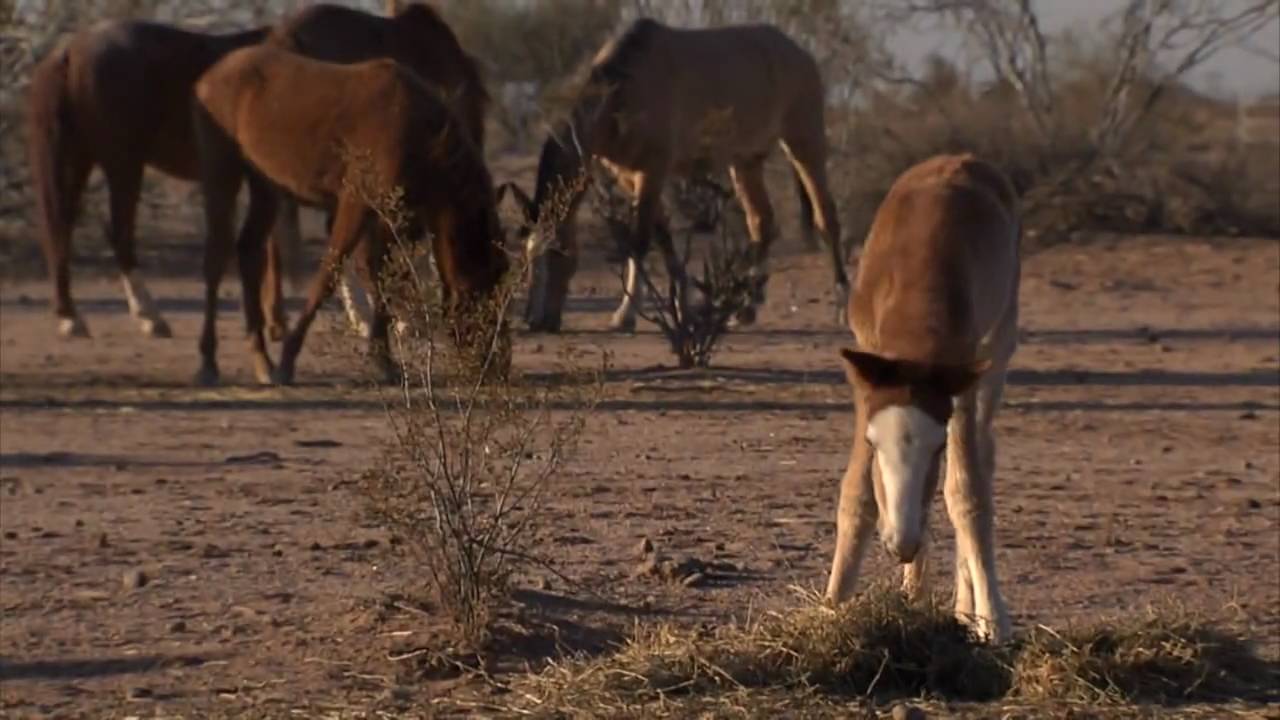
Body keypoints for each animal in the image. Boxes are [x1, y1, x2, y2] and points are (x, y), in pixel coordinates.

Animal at [25, 19, 267, 340]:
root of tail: (69, 52)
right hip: (123, 164)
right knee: (119, 235)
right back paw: (150, 316)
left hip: (74, 160)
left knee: (60, 228)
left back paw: (70, 317)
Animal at [190, 46, 509, 387]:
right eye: (482, 290)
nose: (495, 366)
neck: (419, 137)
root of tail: (210, 76)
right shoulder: (355, 205)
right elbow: (330, 273)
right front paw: (289, 357)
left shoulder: (390, 217)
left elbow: (382, 278)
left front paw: (383, 360)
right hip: (222, 173)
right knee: (216, 256)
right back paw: (209, 362)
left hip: (266, 184)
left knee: (249, 252)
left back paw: (261, 359)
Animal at [504, 18, 849, 333]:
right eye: (528, 254)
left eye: (559, 252)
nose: (536, 322)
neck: (624, 87)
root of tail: (799, 52)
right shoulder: (630, 176)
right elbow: (662, 237)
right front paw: (684, 308)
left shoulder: (652, 170)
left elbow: (640, 240)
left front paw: (625, 315)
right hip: (745, 160)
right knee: (762, 222)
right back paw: (745, 311)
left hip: (804, 142)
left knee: (826, 218)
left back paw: (843, 308)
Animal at [824, 154, 1020, 644]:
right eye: (873, 443)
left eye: (936, 447)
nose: (902, 543)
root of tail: (961, 158)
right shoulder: (867, 385)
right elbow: (857, 494)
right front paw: (831, 610)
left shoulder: (962, 387)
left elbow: (965, 492)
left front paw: (992, 621)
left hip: (998, 352)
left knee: (980, 462)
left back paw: (966, 609)